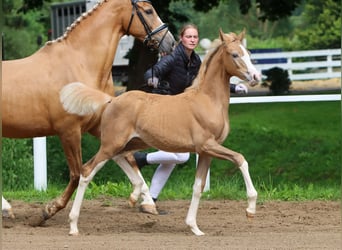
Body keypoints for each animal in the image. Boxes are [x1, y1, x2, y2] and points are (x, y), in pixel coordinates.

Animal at [60, 29, 260, 236]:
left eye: (248, 53)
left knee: (120, 158)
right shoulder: (208, 145)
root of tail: (111, 100)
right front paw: (250, 209)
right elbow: (240, 159)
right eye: (234, 54)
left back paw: (136, 195)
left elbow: (198, 187)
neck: (208, 100)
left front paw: (194, 227)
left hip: (130, 142)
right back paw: (73, 225)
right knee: (86, 171)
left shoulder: (205, 152)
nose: (255, 77)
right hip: (112, 143)